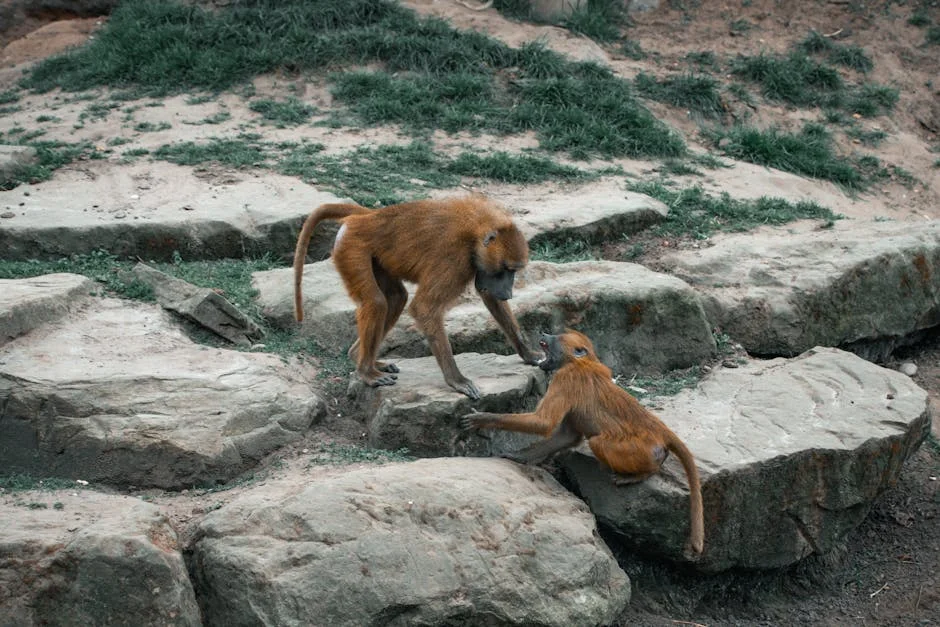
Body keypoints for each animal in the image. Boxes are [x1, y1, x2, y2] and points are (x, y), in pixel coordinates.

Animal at [293, 196, 541, 400]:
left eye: (513, 272)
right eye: (506, 270)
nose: (508, 292)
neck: (476, 232)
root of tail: (367, 217)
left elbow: (490, 297)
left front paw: (528, 354)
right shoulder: (454, 260)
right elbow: (425, 308)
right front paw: (457, 381)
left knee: (396, 299)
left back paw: (362, 359)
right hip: (352, 248)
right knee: (376, 302)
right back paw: (366, 372)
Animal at [460, 329, 704, 554]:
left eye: (557, 337)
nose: (543, 333)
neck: (581, 362)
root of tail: (658, 428)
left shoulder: (565, 378)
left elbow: (544, 423)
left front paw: (484, 419)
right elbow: (566, 436)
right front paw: (519, 456)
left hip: (640, 450)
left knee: (598, 443)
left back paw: (641, 474)